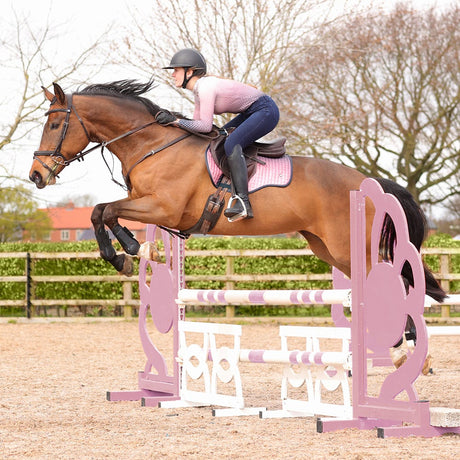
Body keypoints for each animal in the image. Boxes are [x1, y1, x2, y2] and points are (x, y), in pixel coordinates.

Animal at [28, 81, 446, 310]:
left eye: (55, 124)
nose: (36, 175)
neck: (152, 144)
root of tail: (368, 181)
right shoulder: (151, 207)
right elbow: (103, 212)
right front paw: (130, 253)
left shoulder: (164, 208)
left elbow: (104, 210)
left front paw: (128, 252)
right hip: (328, 248)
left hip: (351, 247)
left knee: (395, 282)